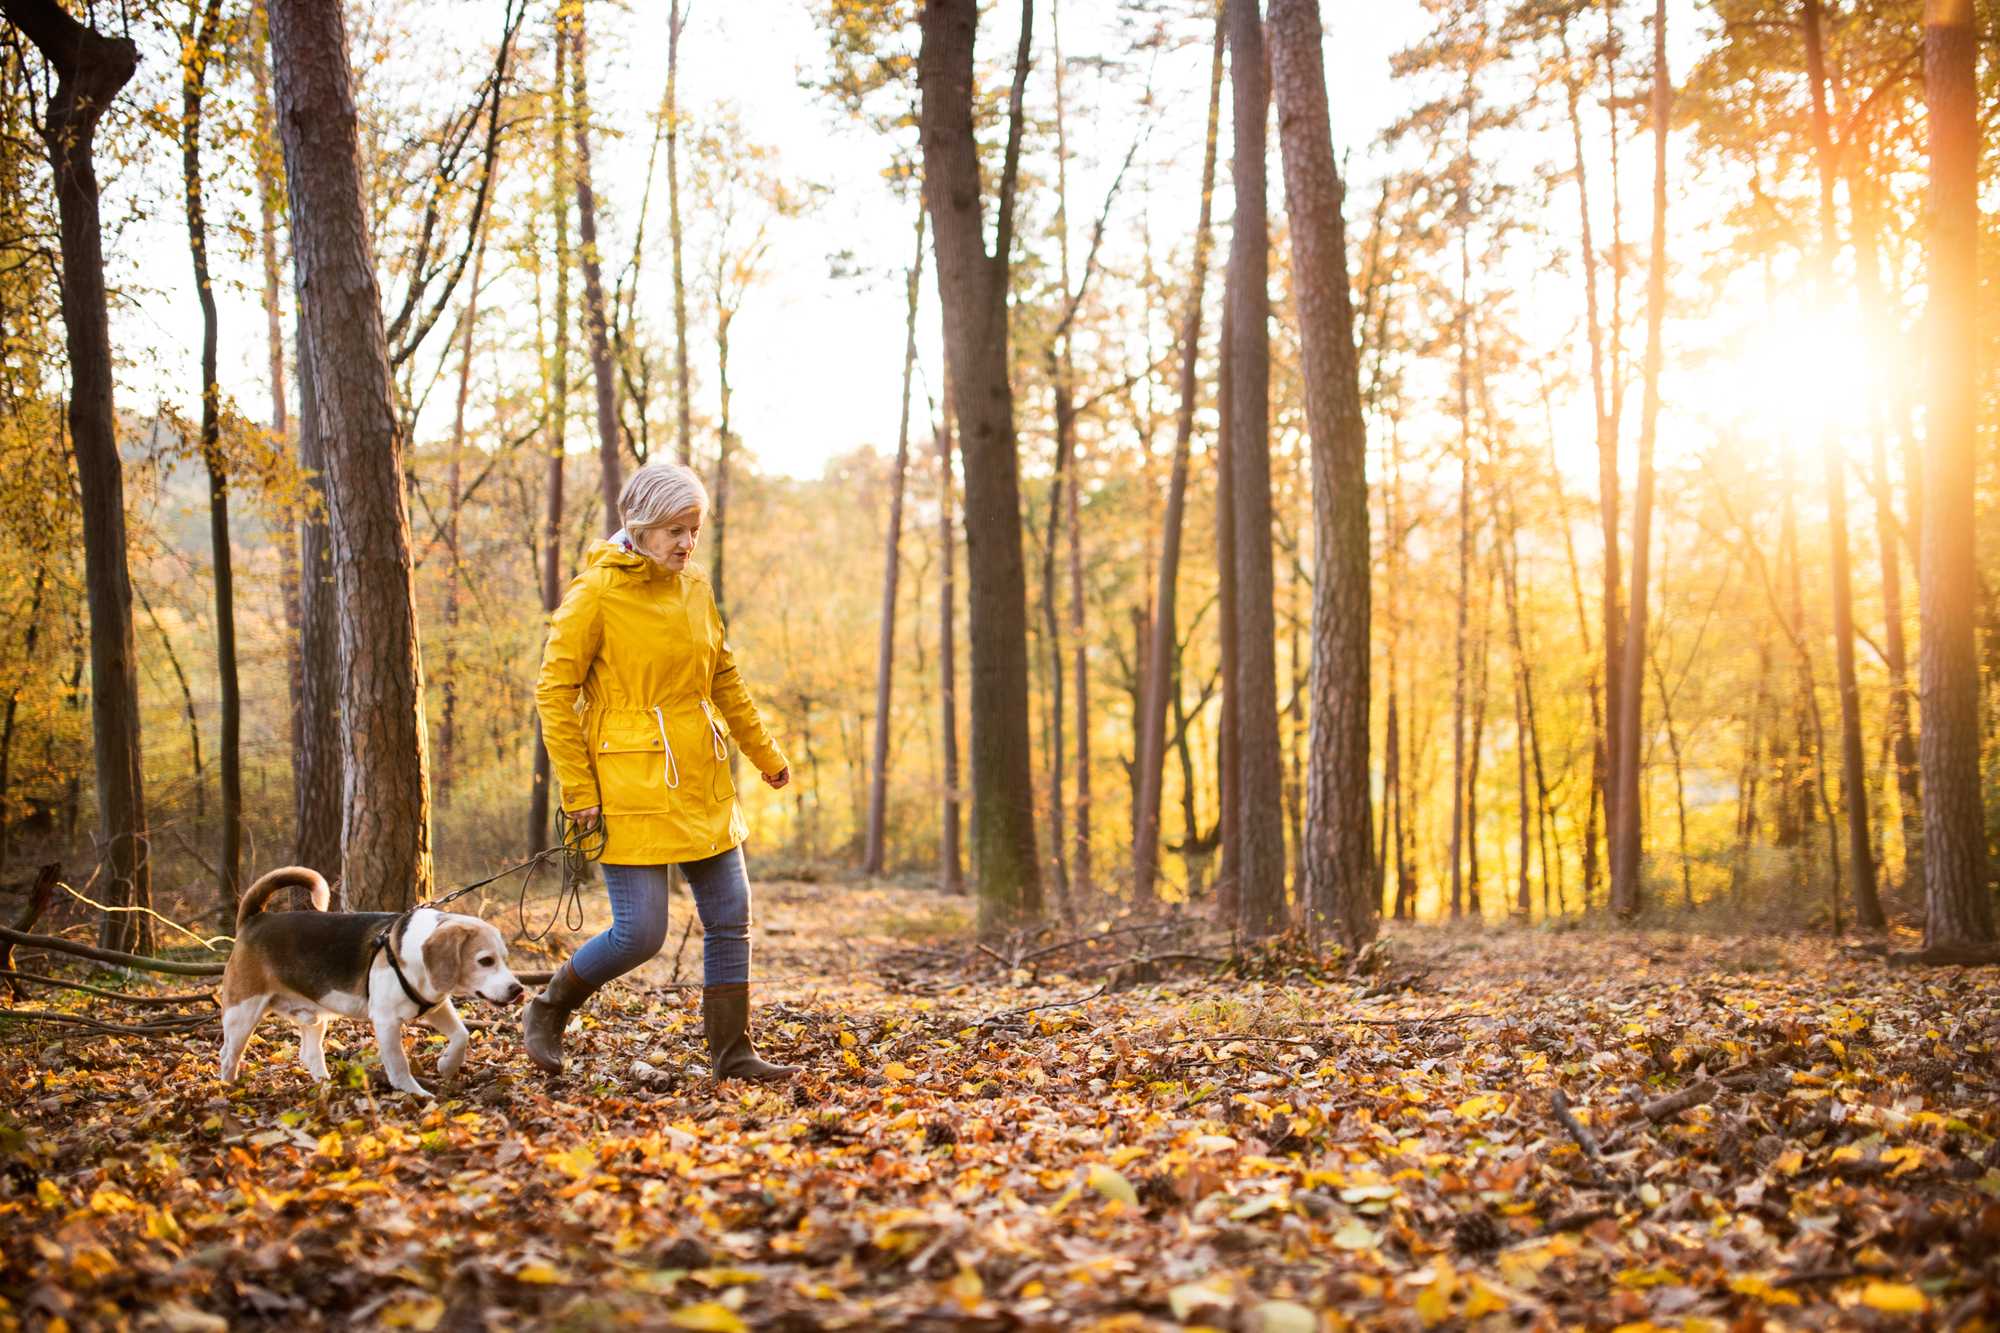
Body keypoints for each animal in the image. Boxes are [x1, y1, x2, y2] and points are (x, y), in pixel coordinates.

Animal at [218, 860, 524, 1088]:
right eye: (485, 961)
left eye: (505, 959)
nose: (517, 990)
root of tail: (256, 918)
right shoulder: (386, 1021)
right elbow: (399, 1064)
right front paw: (413, 1093)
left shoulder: (436, 1005)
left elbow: (462, 1035)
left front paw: (448, 1065)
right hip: (242, 1012)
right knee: (228, 1054)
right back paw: (228, 1089)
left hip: (312, 1017)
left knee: (309, 1053)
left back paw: (325, 1085)